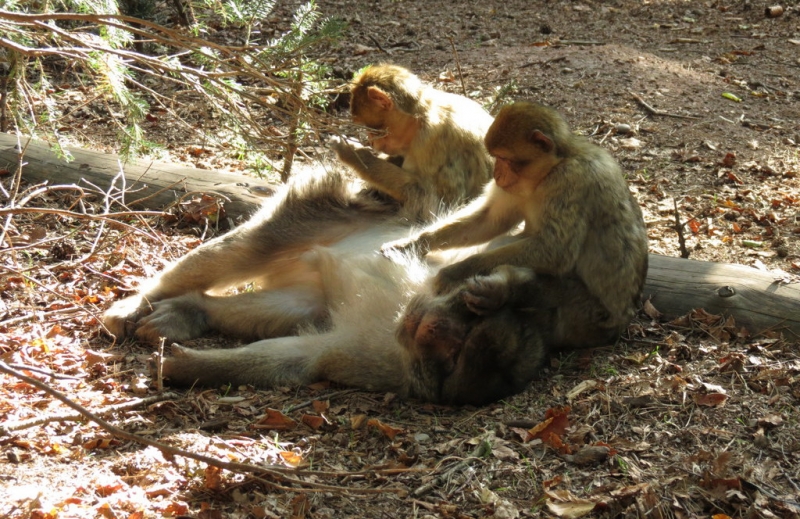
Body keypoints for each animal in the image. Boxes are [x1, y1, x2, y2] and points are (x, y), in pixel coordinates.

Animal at [101, 66, 494, 346]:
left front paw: (356, 156)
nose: (372, 142)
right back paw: (147, 303)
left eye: (375, 130)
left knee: (290, 294)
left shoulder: (434, 142)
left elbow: (436, 198)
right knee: (243, 250)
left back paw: (188, 311)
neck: (428, 113)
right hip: (314, 214)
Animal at [384, 100, 652, 350]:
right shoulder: (515, 187)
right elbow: (491, 220)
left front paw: (458, 271)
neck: (552, 168)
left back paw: (502, 294)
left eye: (503, 158)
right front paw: (414, 244)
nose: (497, 173)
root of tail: (624, 321)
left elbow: (555, 251)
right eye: (496, 158)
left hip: (589, 319)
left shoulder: (570, 181)